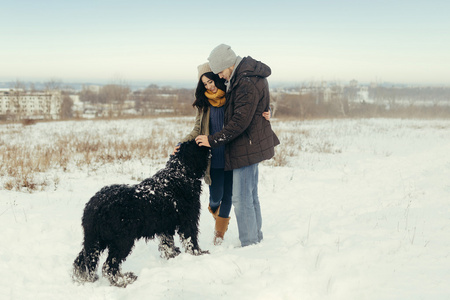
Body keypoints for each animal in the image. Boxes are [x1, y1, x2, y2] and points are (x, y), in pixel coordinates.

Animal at [72, 139, 211, 288]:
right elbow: (191, 239)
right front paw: (198, 253)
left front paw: (173, 255)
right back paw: (124, 280)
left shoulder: (165, 225)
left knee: (82, 261)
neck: (180, 173)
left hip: (95, 239)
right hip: (122, 240)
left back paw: (82, 279)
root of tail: (94, 207)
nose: (207, 144)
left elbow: (167, 244)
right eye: (197, 145)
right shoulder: (188, 219)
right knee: (108, 266)